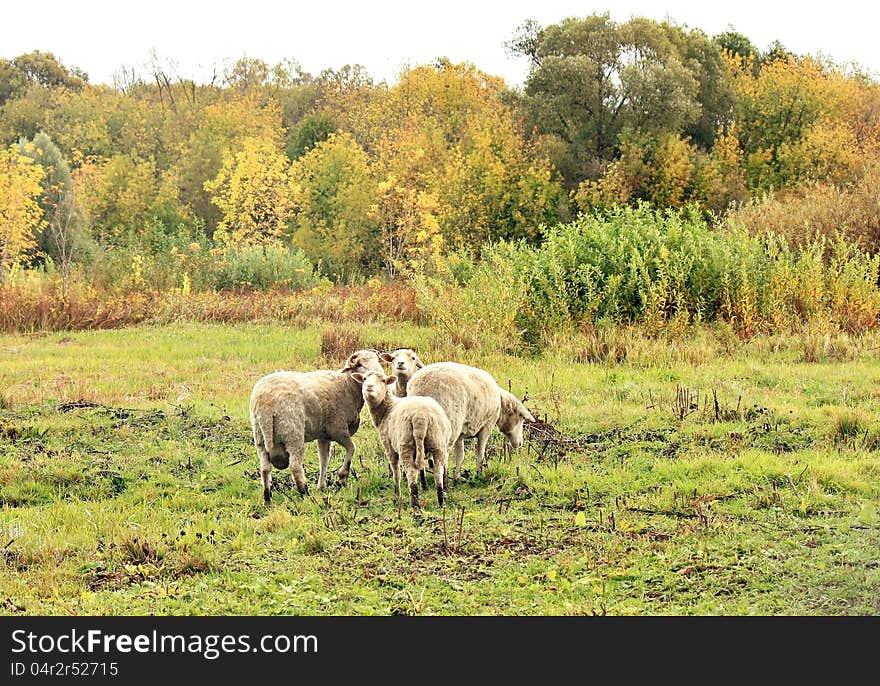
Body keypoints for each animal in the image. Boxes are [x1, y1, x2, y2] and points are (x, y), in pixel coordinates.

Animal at [248, 350, 384, 506]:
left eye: (378, 361)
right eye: (360, 365)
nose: (380, 375)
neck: (347, 386)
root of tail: (265, 403)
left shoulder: (323, 434)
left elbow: (324, 459)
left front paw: (321, 486)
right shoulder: (337, 429)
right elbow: (351, 448)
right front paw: (341, 478)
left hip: (259, 436)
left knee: (265, 468)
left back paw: (267, 497)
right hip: (292, 433)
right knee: (295, 466)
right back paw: (304, 493)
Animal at [350, 370, 450, 510]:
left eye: (383, 381)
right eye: (364, 379)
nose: (369, 386)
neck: (387, 409)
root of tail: (421, 418)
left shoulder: (388, 447)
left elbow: (396, 472)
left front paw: (397, 495)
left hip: (405, 444)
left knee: (411, 473)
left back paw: (415, 504)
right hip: (437, 442)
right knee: (438, 471)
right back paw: (441, 502)